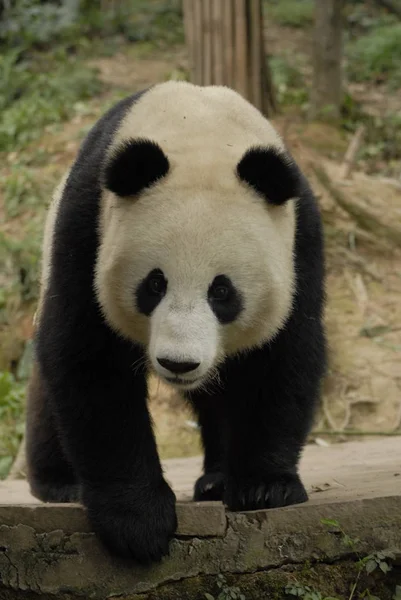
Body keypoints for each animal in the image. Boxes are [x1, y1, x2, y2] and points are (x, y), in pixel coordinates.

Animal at [25, 82, 324, 564]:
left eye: (222, 292)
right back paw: (59, 482)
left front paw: (264, 487)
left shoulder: (298, 242)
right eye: (154, 284)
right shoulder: (88, 226)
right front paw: (138, 522)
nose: (178, 364)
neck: (199, 126)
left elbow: (282, 357)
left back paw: (216, 479)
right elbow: (88, 360)